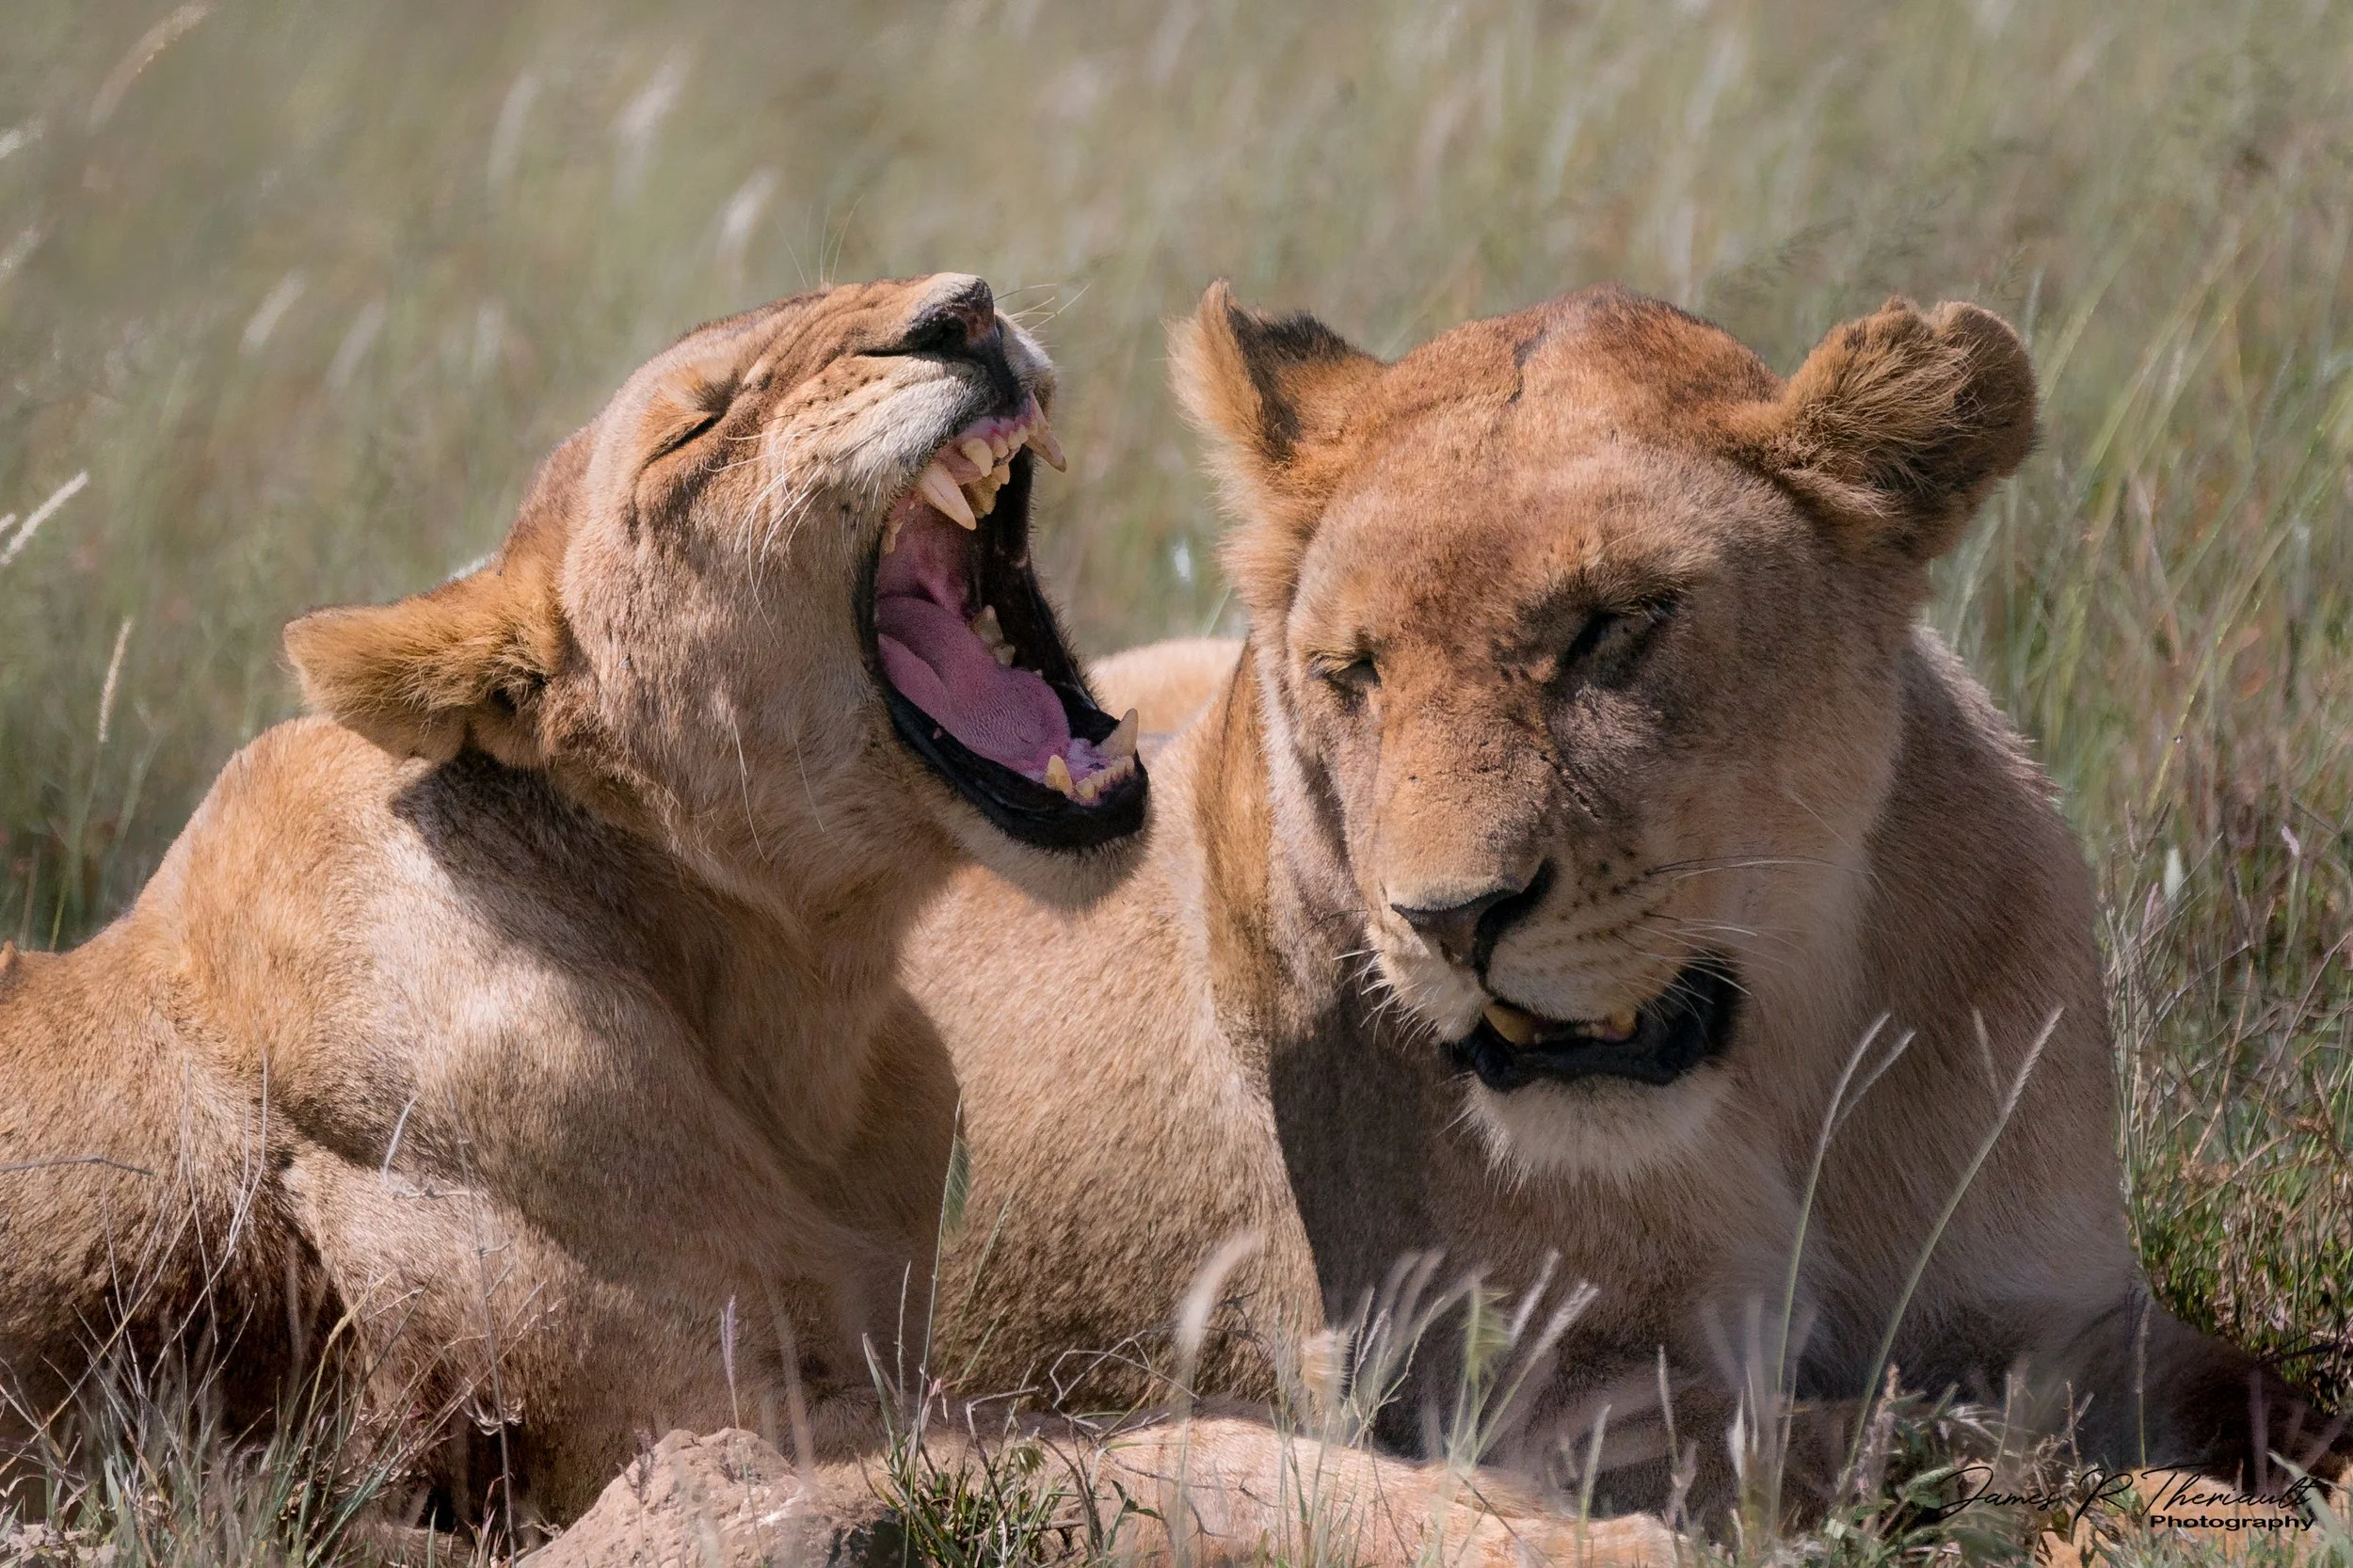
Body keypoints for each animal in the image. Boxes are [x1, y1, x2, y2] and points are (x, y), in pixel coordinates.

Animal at [909, 281, 2348, 1517]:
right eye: (1353, 671)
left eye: (1614, 623)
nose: (1447, 920)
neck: (1787, 1068)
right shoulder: (1540, 1405)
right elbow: (1895, 1442)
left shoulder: (2075, 1316)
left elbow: (2261, 1403)